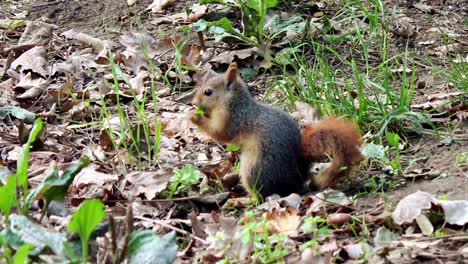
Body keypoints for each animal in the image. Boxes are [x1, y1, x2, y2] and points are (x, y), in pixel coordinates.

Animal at [188, 63, 364, 197]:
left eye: (208, 92)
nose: (193, 103)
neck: (236, 104)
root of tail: (295, 181)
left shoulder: (233, 120)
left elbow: (220, 133)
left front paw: (193, 116)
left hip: (253, 170)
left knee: (262, 196)